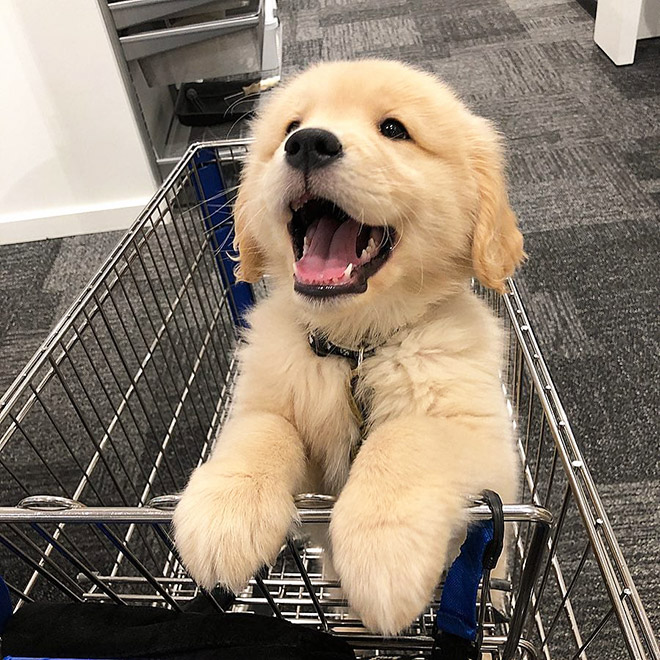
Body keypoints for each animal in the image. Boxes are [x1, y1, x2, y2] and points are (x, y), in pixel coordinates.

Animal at [173, 60, 524, 636]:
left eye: (395, 129)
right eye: (291, 126)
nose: (307, 144)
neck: (354, 350)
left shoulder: (481, 438)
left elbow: (406, 441)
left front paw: (383, 548)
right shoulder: (270, 399)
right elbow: (263, 431)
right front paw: (225, 510)